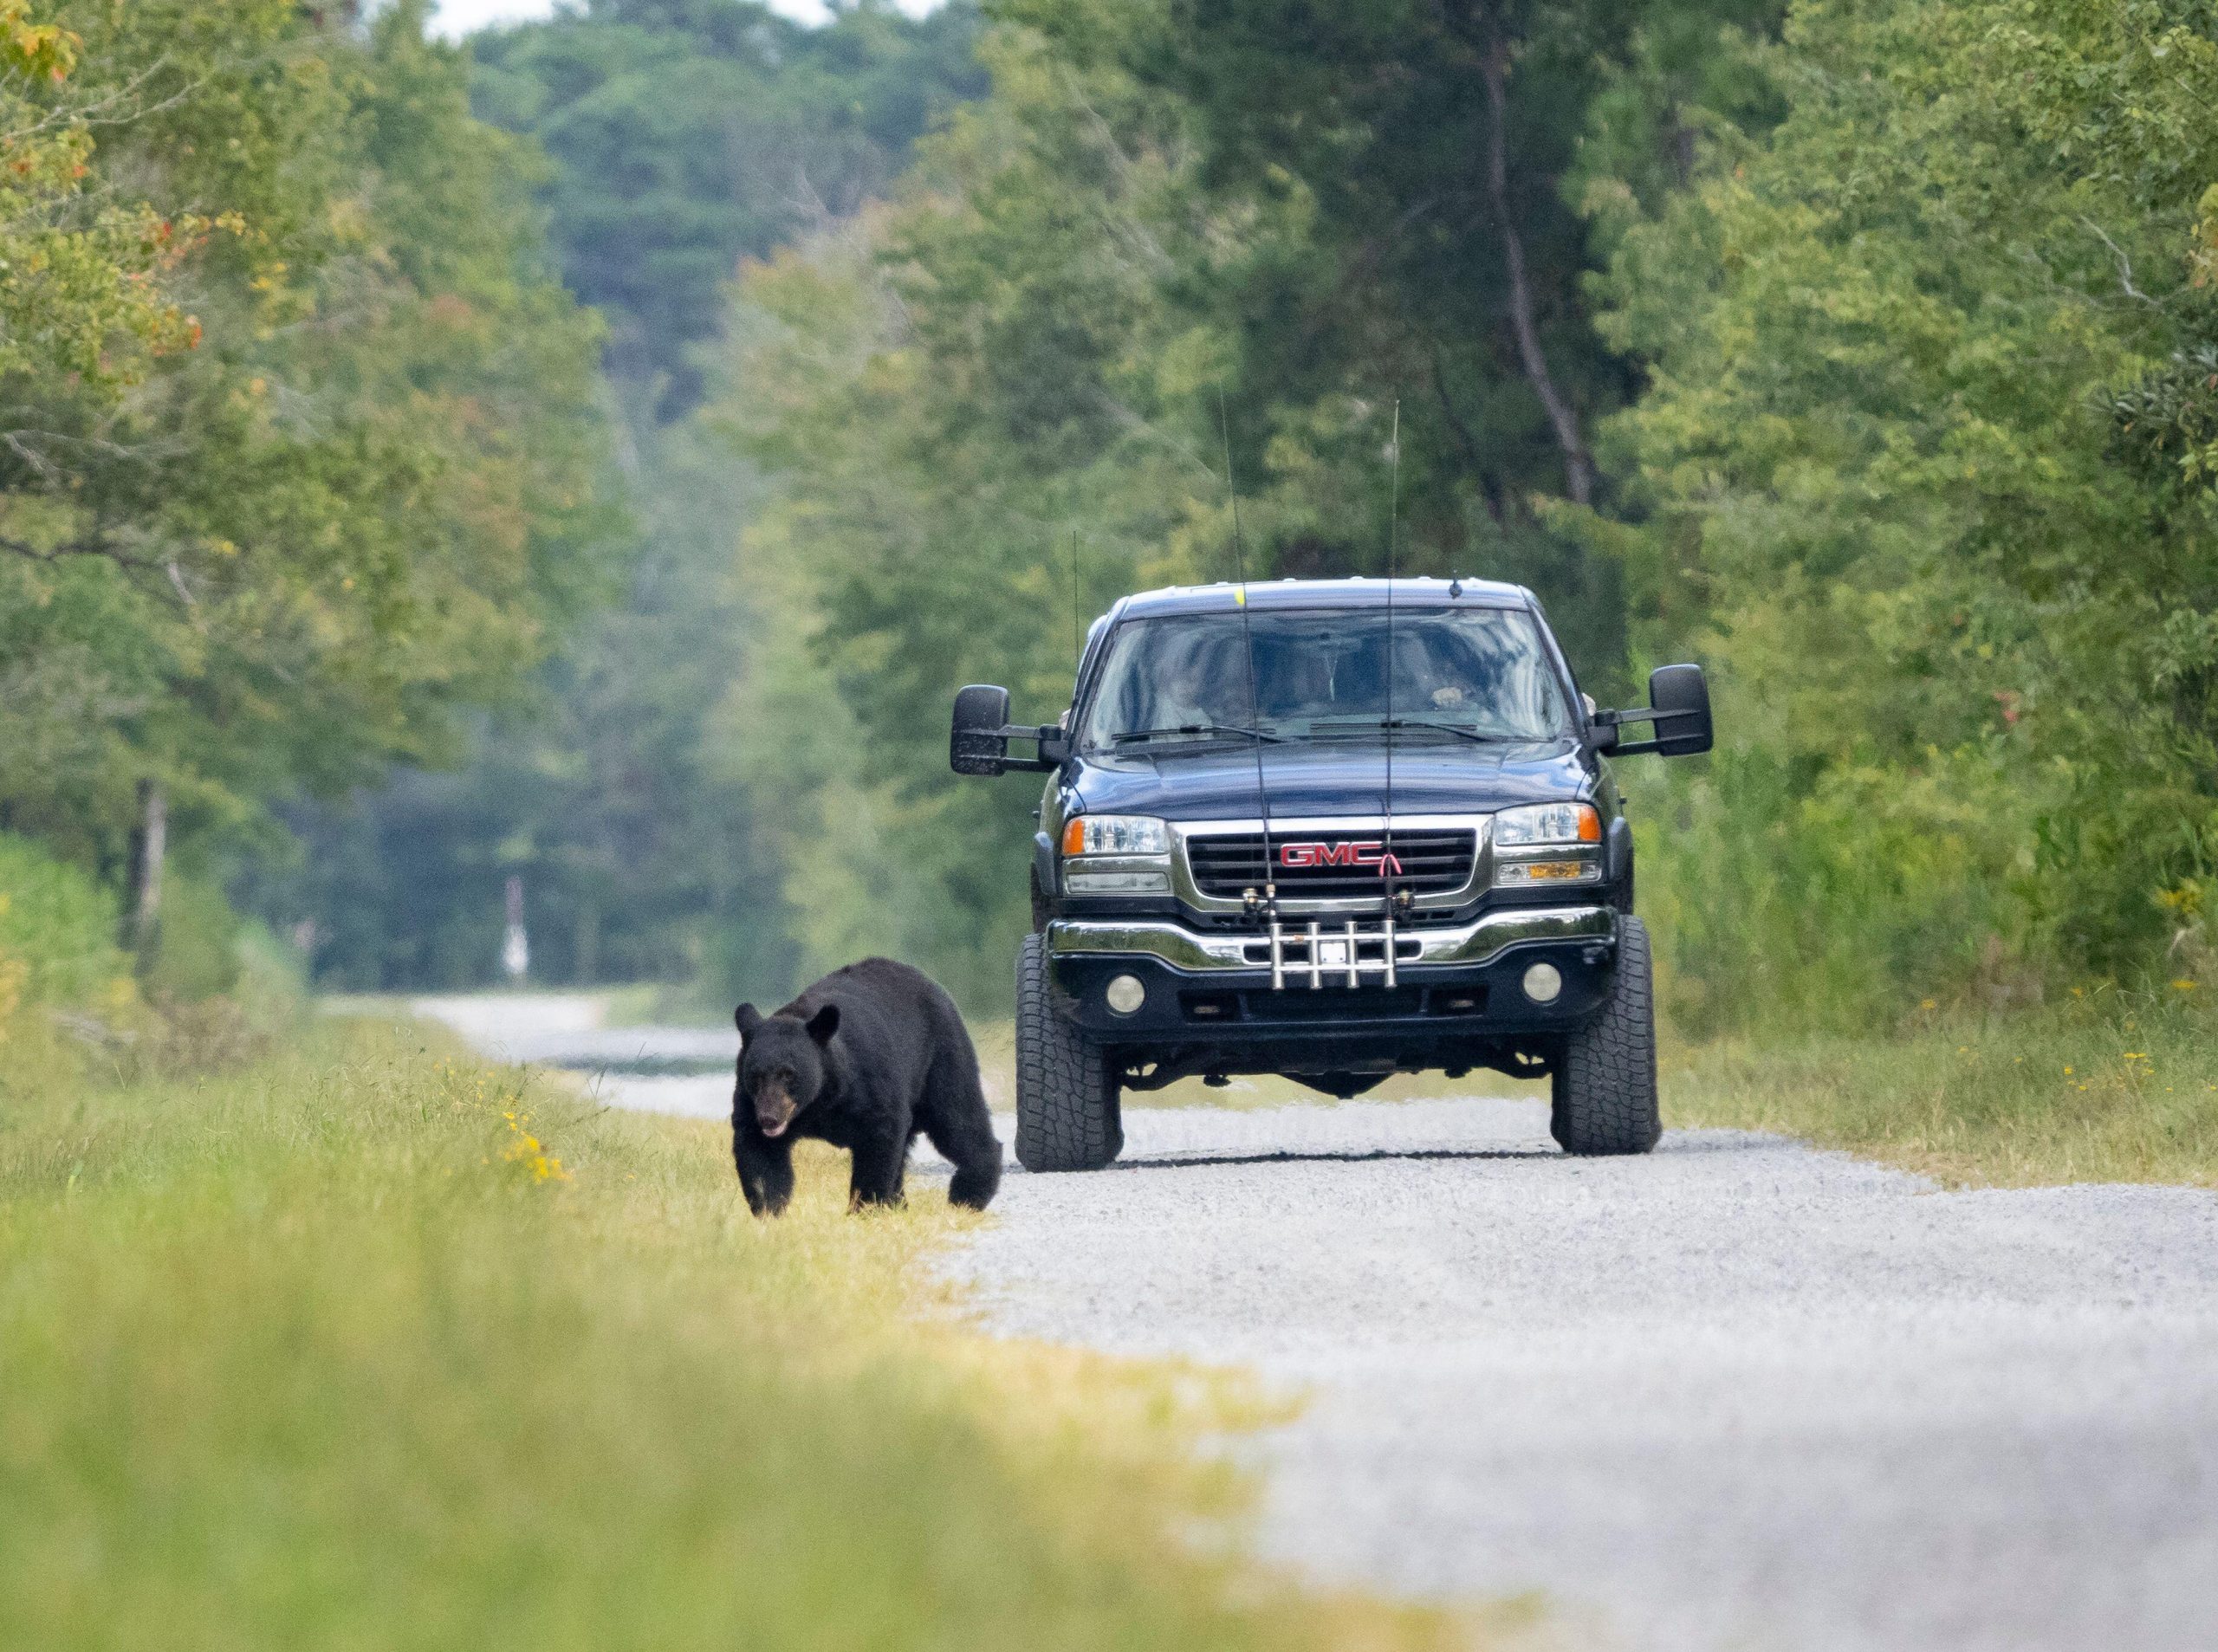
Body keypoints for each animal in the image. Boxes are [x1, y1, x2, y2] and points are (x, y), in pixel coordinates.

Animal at [731, 953, 1002, 1215]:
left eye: (789, 1074)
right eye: (755, 1075)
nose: (769, 1119)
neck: (822, 1098)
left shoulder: (868, 1081)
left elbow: (879, 1138)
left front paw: (865, 1208)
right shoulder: (749, 1101)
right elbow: (760, 1153)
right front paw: (769, 1210)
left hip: (940, 1055)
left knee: (957, 1117)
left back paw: (968, 1195)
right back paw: (899, 1204)